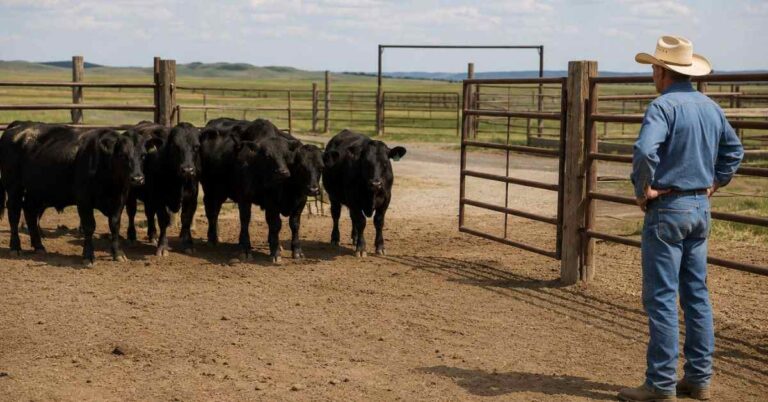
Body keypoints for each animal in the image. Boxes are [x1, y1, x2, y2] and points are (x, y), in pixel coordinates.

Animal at [125, 121, 201, 256]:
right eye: (175, 146)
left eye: (196, 146)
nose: (187, 170)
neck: (179, 182)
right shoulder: (159, 197)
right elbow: (163, 220)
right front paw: (163, 246)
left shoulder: (192, 198)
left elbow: (186, 219)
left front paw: (188, 243)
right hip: (131, 193)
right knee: (131, 213)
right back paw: (132, 237)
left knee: (149, 213)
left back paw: (152, 235)